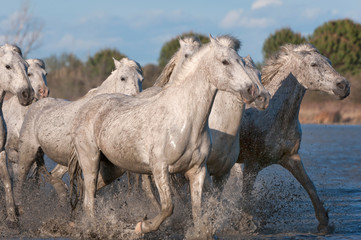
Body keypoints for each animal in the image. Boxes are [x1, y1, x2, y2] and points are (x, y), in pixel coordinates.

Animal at [14, 57, 143, 204]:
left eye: (141, 79)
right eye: (123, 78)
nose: (135, 98)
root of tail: (35, 105)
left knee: (54, 177)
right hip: (27, 154)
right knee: (20, 181)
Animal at [66, 35, 260, 234]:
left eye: (241, 61)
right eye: (225, 61)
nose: (252, 90)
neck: (184, 119)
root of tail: (85, 108)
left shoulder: (197, 170)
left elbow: (198, 212)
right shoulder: (160, 168)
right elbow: (168, 207)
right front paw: (142, 226)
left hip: (112, 168)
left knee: (90, 192)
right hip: (90, 161)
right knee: (89, 200)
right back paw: (94, 228)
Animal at [236, 43, 348, 232]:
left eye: (329, 61)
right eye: (313, 64)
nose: (344, 86)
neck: (271, 115)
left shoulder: (291, 158)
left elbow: (310, 187)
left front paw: (324, 223)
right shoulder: (252, 164)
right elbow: (245, 198)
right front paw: (246, 224)